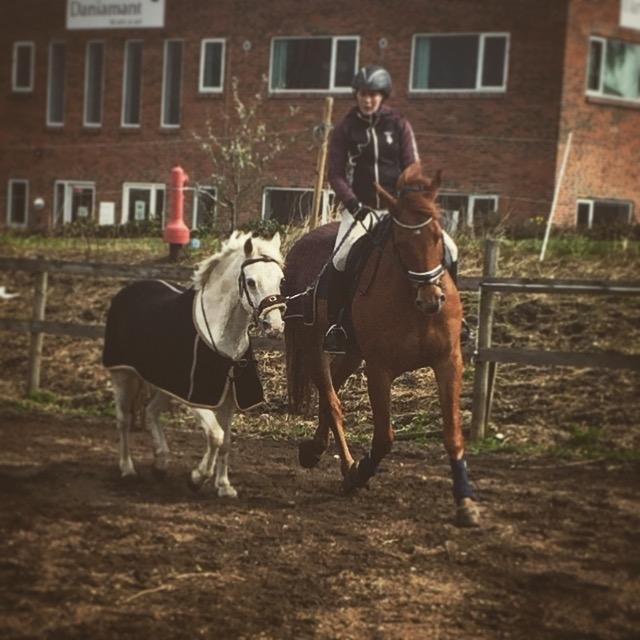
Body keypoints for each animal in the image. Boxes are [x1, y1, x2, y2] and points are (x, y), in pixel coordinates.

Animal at [102, 231, 286, 497]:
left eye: (281, 280)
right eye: (251, 282)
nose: (275, 326)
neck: (222, 335)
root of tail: (127, 291)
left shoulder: (228, 398)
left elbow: (226, 441)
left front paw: (224, 486)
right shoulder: (196, 399)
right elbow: (216, 435)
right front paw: (197, 478)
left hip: (163, 383)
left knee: (151, 412)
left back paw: (161, 464)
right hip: (123, 375)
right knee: (124, 420)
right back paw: (127, 469)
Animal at [284, 163, 479, 526]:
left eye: (437, 235)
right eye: (400, 241)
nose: (431, 300)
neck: (411, 301)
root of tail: (300, 245)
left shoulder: (448, 362)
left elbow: (452, 431)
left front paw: (465, 501)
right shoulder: (380, 370)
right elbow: (385, 437)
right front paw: (360, 473)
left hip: (351, 351)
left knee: (332, 389)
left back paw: (316, 449)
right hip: (313, 344)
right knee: (331, 400)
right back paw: (345, 466)